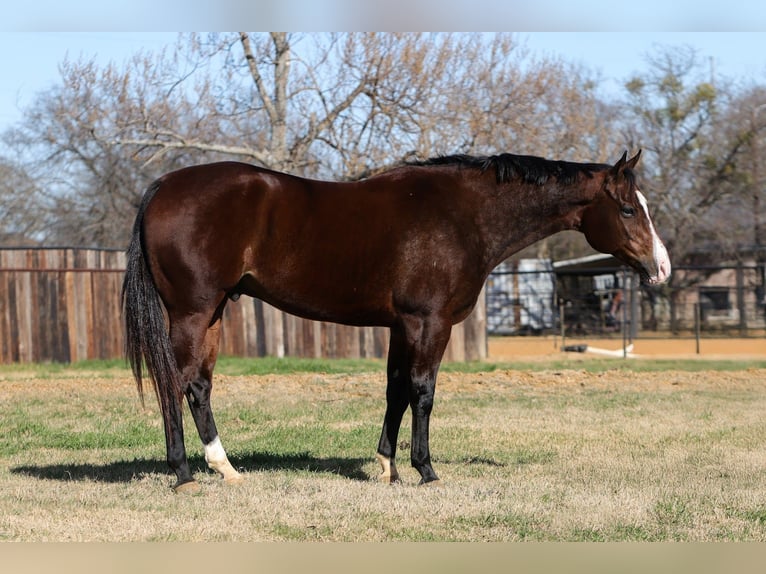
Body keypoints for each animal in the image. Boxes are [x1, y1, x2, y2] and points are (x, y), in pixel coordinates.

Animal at [122, 150, 671, 492]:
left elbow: (395, 390)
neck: (461, 215)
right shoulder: (430, 322)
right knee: (177, 382)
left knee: (196, 384)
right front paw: (425, 470)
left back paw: (223, 469)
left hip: (212, 312)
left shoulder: (401, 325)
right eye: (627, 208)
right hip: (193, 312)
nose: (661, 267)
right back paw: (186, 472)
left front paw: (387, 467)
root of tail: (162, 186)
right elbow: (423, 391)